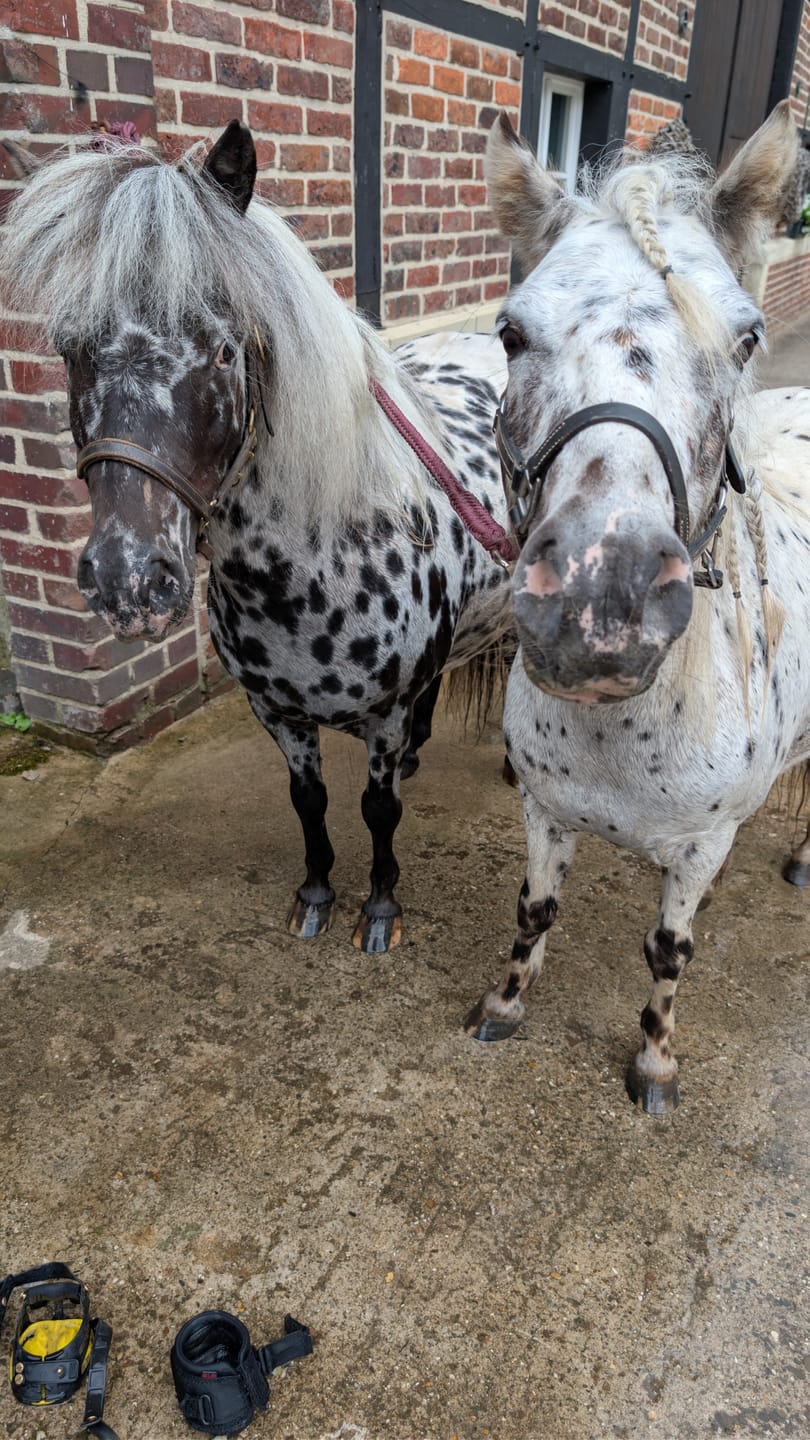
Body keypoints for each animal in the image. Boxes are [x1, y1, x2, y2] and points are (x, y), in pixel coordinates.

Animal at [0, 121, 514, 955]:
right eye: (71, 349)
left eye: (221, 350)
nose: (129, 581)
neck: (317, 569)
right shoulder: (277, 714)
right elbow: (309, 802)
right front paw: (314, 895)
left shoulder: (381, 715)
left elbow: (377, 813)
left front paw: (380, 908)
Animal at [464, 104, 810, 1113]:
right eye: (510, 332)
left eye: (745, 337)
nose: (599, 601)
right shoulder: (545, 811)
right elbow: (533, 909)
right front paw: (504, 1005)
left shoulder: (700, 846)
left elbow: (669, 952)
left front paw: (654, 1061)